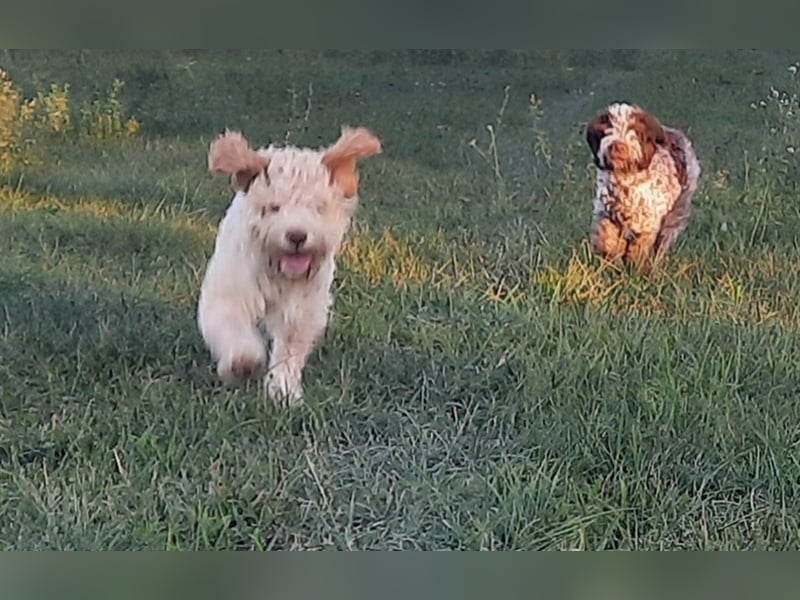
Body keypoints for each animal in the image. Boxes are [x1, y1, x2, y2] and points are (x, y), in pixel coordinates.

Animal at [580, 102, 700, 266]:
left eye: (634, 130)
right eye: (607, 129)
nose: (618, 146)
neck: (626, 179)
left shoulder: (647, 225)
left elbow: (638, 251)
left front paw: (635, 267)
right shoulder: (605, 213)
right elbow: (606, 238)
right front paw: (611, 256)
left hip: (677, 211)